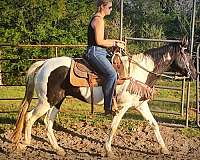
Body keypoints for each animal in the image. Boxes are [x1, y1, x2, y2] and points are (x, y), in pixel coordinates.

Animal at [11, 38, 197, 156]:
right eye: (188, 55)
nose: (195, 74)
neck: (139, 71)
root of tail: (44, 64)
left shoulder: (140, 105)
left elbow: (154, 124)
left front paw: (164, 149)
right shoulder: (122, 107)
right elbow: (114, 127)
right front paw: (108, 150)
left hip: (57, 101)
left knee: (47, 122)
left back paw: (58, 149)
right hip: (46, 101)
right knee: (29, 117)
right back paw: (25, 144)